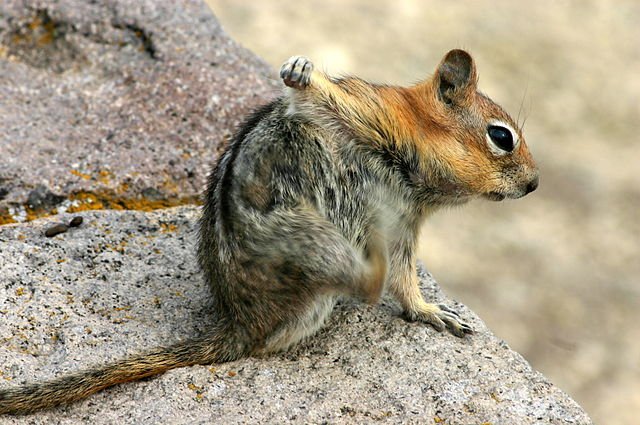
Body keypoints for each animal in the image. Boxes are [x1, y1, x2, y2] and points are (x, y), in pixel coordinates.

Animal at [0, 49, 538, 414]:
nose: (534, 184)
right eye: (501, 136)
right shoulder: (368, 116)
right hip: (310, 246)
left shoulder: (405, 225)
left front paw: (431, 313)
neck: (414, 170)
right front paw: (300, 70)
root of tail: (239, 323)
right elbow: (314, 97)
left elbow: (407, 284)